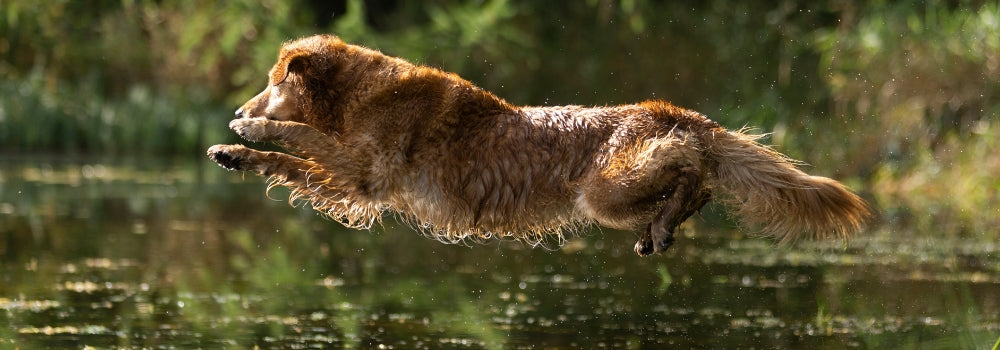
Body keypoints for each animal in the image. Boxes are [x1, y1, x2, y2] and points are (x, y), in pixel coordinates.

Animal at [207, 34, 872, 256]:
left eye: (271, 83)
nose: (238, 108)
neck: (355, 96)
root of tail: (676, 109)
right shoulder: (355, 189)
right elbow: (288, 161)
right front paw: (234, 153)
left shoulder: (365, 171)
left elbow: (299, 136)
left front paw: (250, 132)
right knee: (697, 175)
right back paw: (662, 230)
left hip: (604, 193)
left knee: (690, 170)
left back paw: (664, 223)